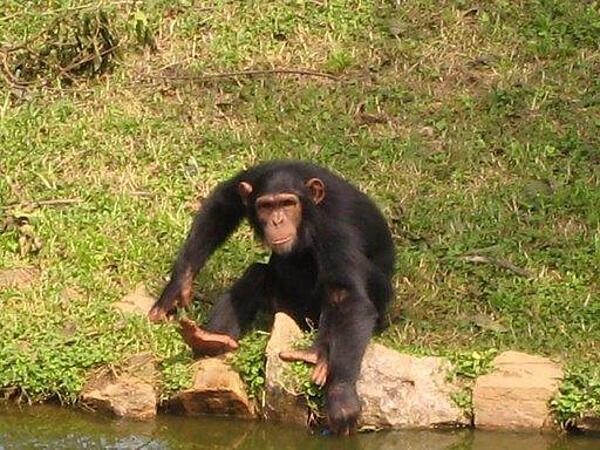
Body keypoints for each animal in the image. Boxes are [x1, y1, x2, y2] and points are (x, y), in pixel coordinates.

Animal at [149, 160, 394, 434]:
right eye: (267, 206)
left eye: (287, 204)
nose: (277, 220)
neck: (308, 212)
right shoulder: (257, 175)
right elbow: (224, 202)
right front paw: (178, 285)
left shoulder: (334, 225)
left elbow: (345, 295)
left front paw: (341, 395)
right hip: (286, 308)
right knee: (258, 273)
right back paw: (210, 339)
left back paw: (318, 356)